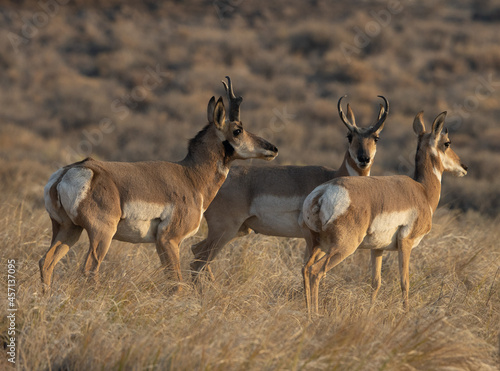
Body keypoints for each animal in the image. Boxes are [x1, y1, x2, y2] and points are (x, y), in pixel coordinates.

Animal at [40, 77, 278, 292]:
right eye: (238, 130)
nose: (273, 148)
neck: (190, 175)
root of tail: (68, 172)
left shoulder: (160, 243)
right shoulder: (169, 240)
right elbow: (177, 284)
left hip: (68, 230)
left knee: (46, 262)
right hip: (101, 234)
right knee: (89, 269)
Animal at [189, 96, 388, 280]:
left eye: (376, 138)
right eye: (349, 136)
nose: (363, 159)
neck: (332, 176)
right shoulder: (311, 239)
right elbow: (308, 268)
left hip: (239, 230)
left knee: (196, 251)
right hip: (224, 231)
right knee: (199, 260)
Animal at [300, 109, 468, 314]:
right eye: (447, 143)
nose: (464, 167)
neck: (422, 191)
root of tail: (322, 192)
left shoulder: (377, 248)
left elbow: (376, 282)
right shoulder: (406, 244)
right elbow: (404, 282)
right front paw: (406, 313)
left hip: (317, 246)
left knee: (305, 269)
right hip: (343, 247)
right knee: (316, 272)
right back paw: (315, 314)